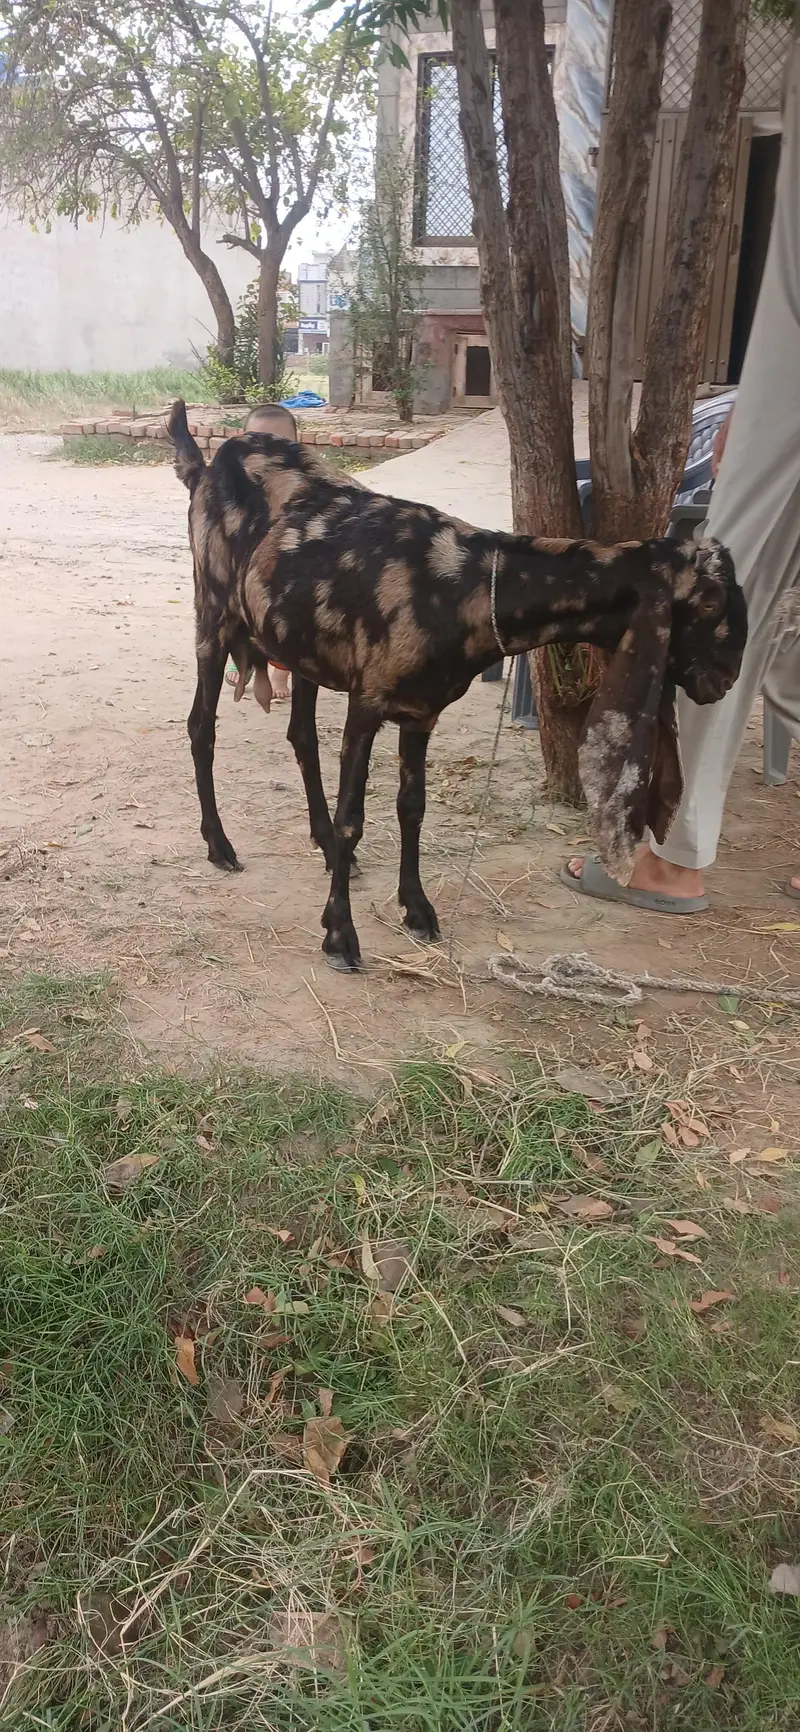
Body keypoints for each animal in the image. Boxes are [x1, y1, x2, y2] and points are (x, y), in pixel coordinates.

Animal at [168, 400, 747, 972]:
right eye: (711, 603)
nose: (724, 681)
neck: (466, 583)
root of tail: (206, 466)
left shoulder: (421, 711)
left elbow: (412, 806)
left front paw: (417, 909)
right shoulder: (368, 702)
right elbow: (354, 815)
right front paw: (339, 935)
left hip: (302, 647)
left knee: (302, 738)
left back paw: (330, 852)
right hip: (213, 616)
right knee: (201, 727)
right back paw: (220, 845)